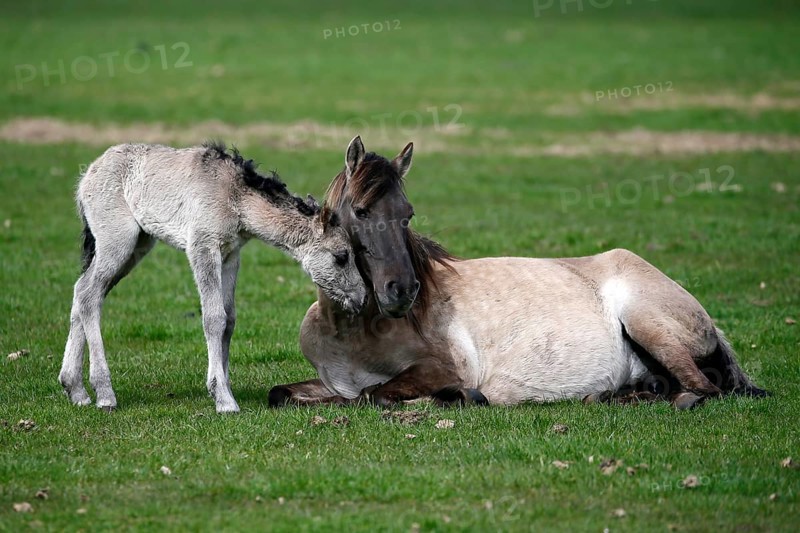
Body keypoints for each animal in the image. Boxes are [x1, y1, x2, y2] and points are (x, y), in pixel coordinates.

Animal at [59, 141, 366, 413]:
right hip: (118, 240)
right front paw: (224, 400)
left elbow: (229, 319)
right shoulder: (202, 246)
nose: (361, 297)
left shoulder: (231, 254)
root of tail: (87, 176)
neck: (235, 198)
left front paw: (223, 386)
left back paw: (76, 390)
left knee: (83, 290)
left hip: (138, 244)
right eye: (341, 256)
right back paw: (104, 395)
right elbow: (213, 317)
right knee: (89, 294)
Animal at [268, 136, 768, 409]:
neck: (354, 333)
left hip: (650, 324)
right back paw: (605, 396)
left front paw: (462, 398)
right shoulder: (326, 380)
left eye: (407, 215)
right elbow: (282, 393)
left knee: (699, 389)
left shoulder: (441, 368)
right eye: (360, 210)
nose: (401, 291)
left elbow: (372, 395)